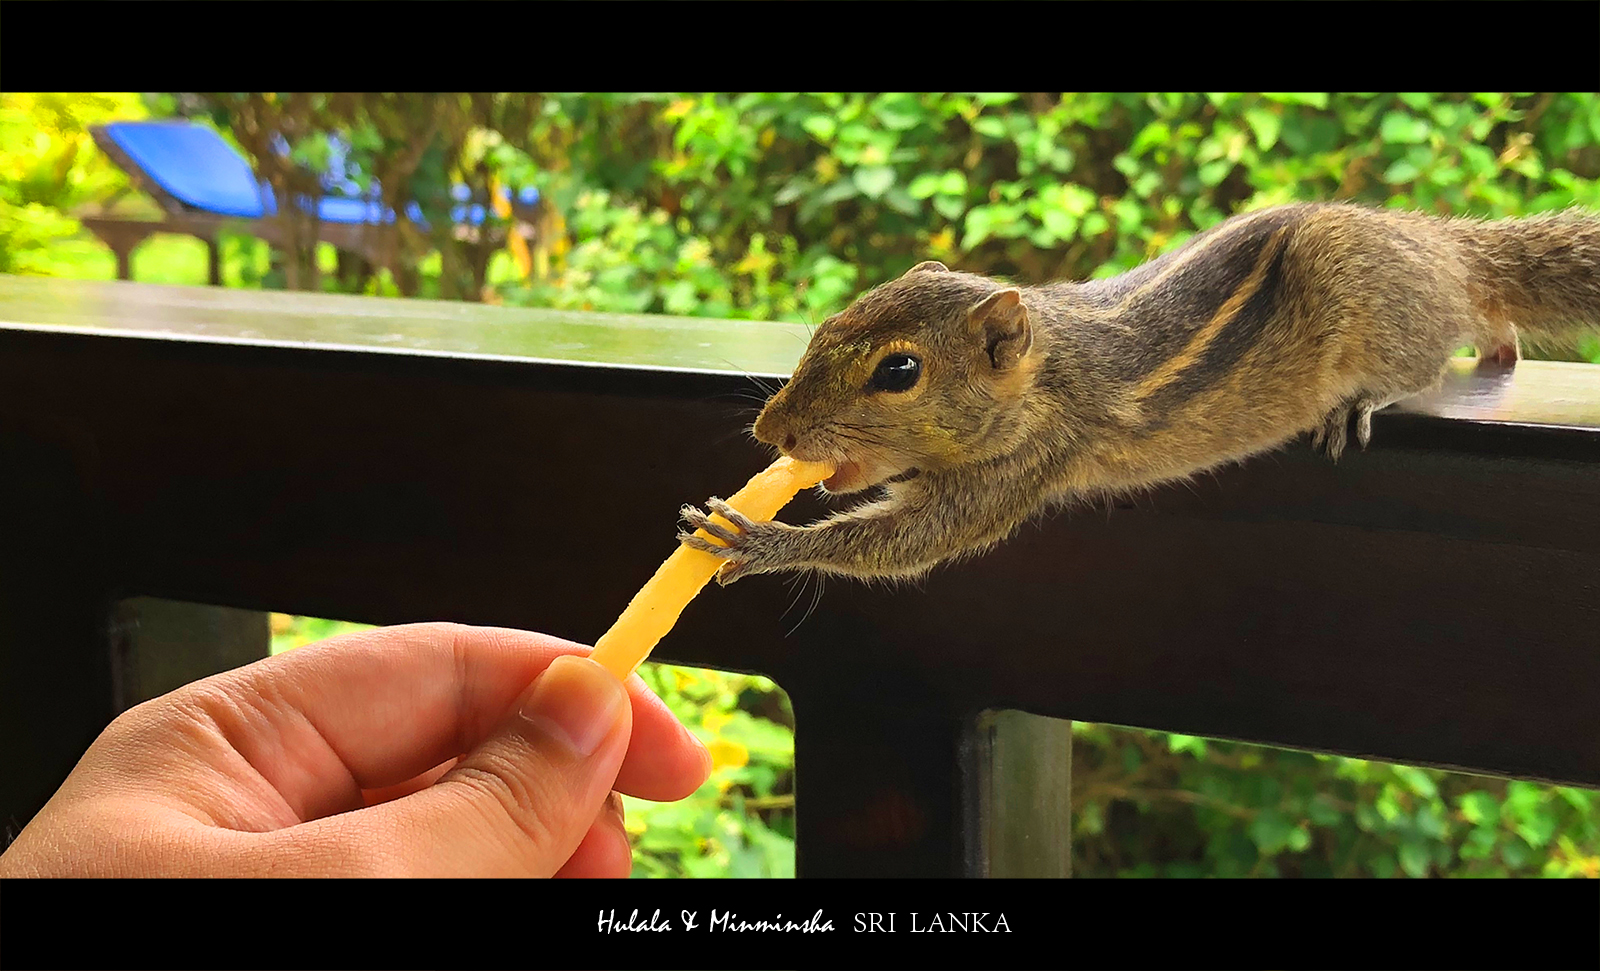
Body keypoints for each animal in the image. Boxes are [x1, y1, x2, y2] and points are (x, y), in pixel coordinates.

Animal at [678, 203, 1600, 582]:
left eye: (898, 371)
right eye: (829, 323)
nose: (774, 430)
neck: (1044, 371)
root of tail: (1442, 243)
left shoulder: (1024, 466)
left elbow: (905, 542)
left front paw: (759, 540)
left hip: (1380, 308)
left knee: (1431, 352)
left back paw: (1368, 396)